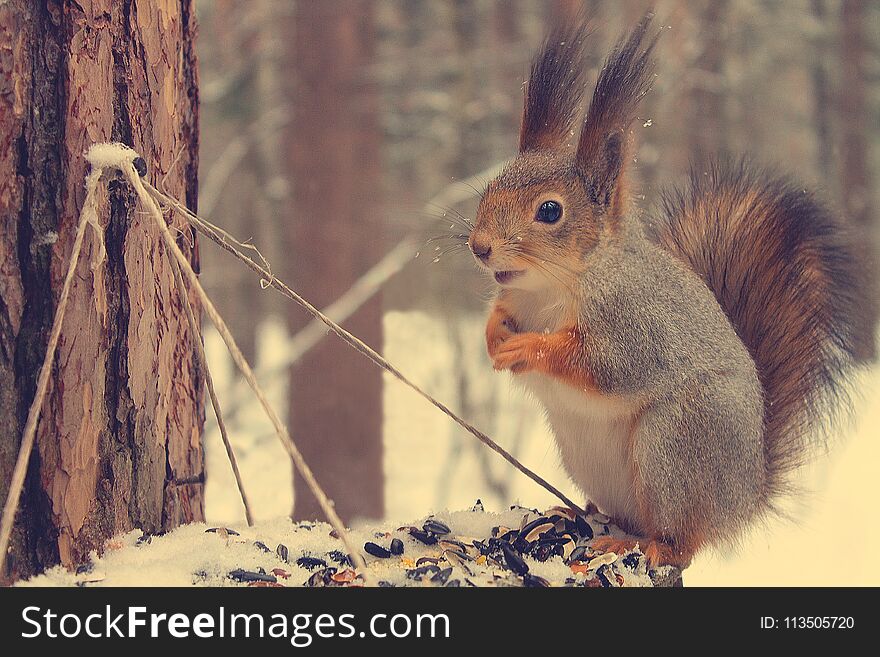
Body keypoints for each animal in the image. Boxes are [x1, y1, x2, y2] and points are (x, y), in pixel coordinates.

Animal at [468, 14, 860, 568]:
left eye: (549, 211)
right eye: (488, 189)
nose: (479, 247)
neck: (550, 287)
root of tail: (742, 501)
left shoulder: (637, 323)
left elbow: (606, 365)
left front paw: (529, 347)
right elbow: (502, 314)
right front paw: (493, 333)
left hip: (674, 446)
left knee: (683, 543)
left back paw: (642, 542)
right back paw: (580, 516)